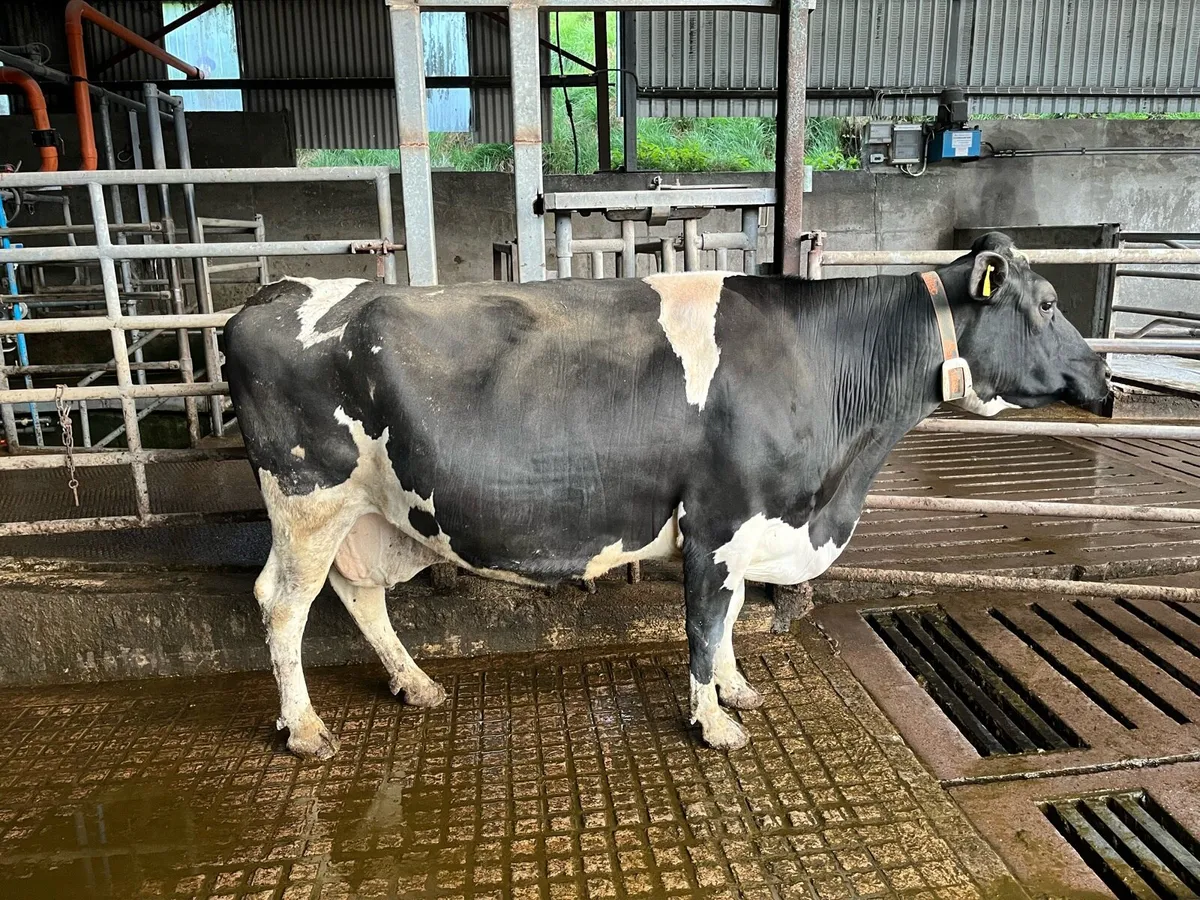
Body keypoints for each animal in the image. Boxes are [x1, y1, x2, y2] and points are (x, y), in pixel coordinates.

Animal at [224, 232, 1110, 759]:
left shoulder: (749, 524)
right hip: (307, 495)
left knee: (356, 593)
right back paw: (305, 728)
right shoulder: (717, 518)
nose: (1104, 380)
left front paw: (737, 687)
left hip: (368, 512)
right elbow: (706, 620)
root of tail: (273, 292)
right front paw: (713, 721)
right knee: (282, 603)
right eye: (1048, 304)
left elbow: (733, 614)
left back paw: (415, 683)